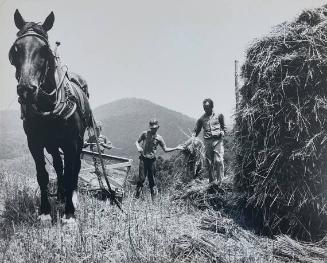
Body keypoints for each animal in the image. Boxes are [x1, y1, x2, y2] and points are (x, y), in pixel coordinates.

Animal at [8, 8, 92, 223]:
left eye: (44, 50)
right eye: (15, 50)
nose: (26, 88)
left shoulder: (72, 143)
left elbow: (71, 171)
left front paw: (69, 213)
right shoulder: (34, 142)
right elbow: (42, 174)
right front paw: (45, 211)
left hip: (78, 142)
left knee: (75, 167)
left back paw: (72, 196)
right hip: (53, 144)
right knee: (58, 163)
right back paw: (61, 194)